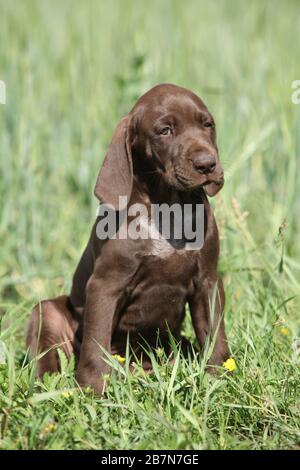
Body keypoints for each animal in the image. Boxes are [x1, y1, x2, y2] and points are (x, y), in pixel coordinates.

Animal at [27, 83, 230, 392]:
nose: (207, 164)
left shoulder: (207, 279)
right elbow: (96, 341)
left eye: (207, 125)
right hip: (47, 313)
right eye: (165, 131)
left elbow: (214, 333)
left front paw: (219, 378)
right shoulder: (105, 285)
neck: (166, 205)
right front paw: (93, 388)